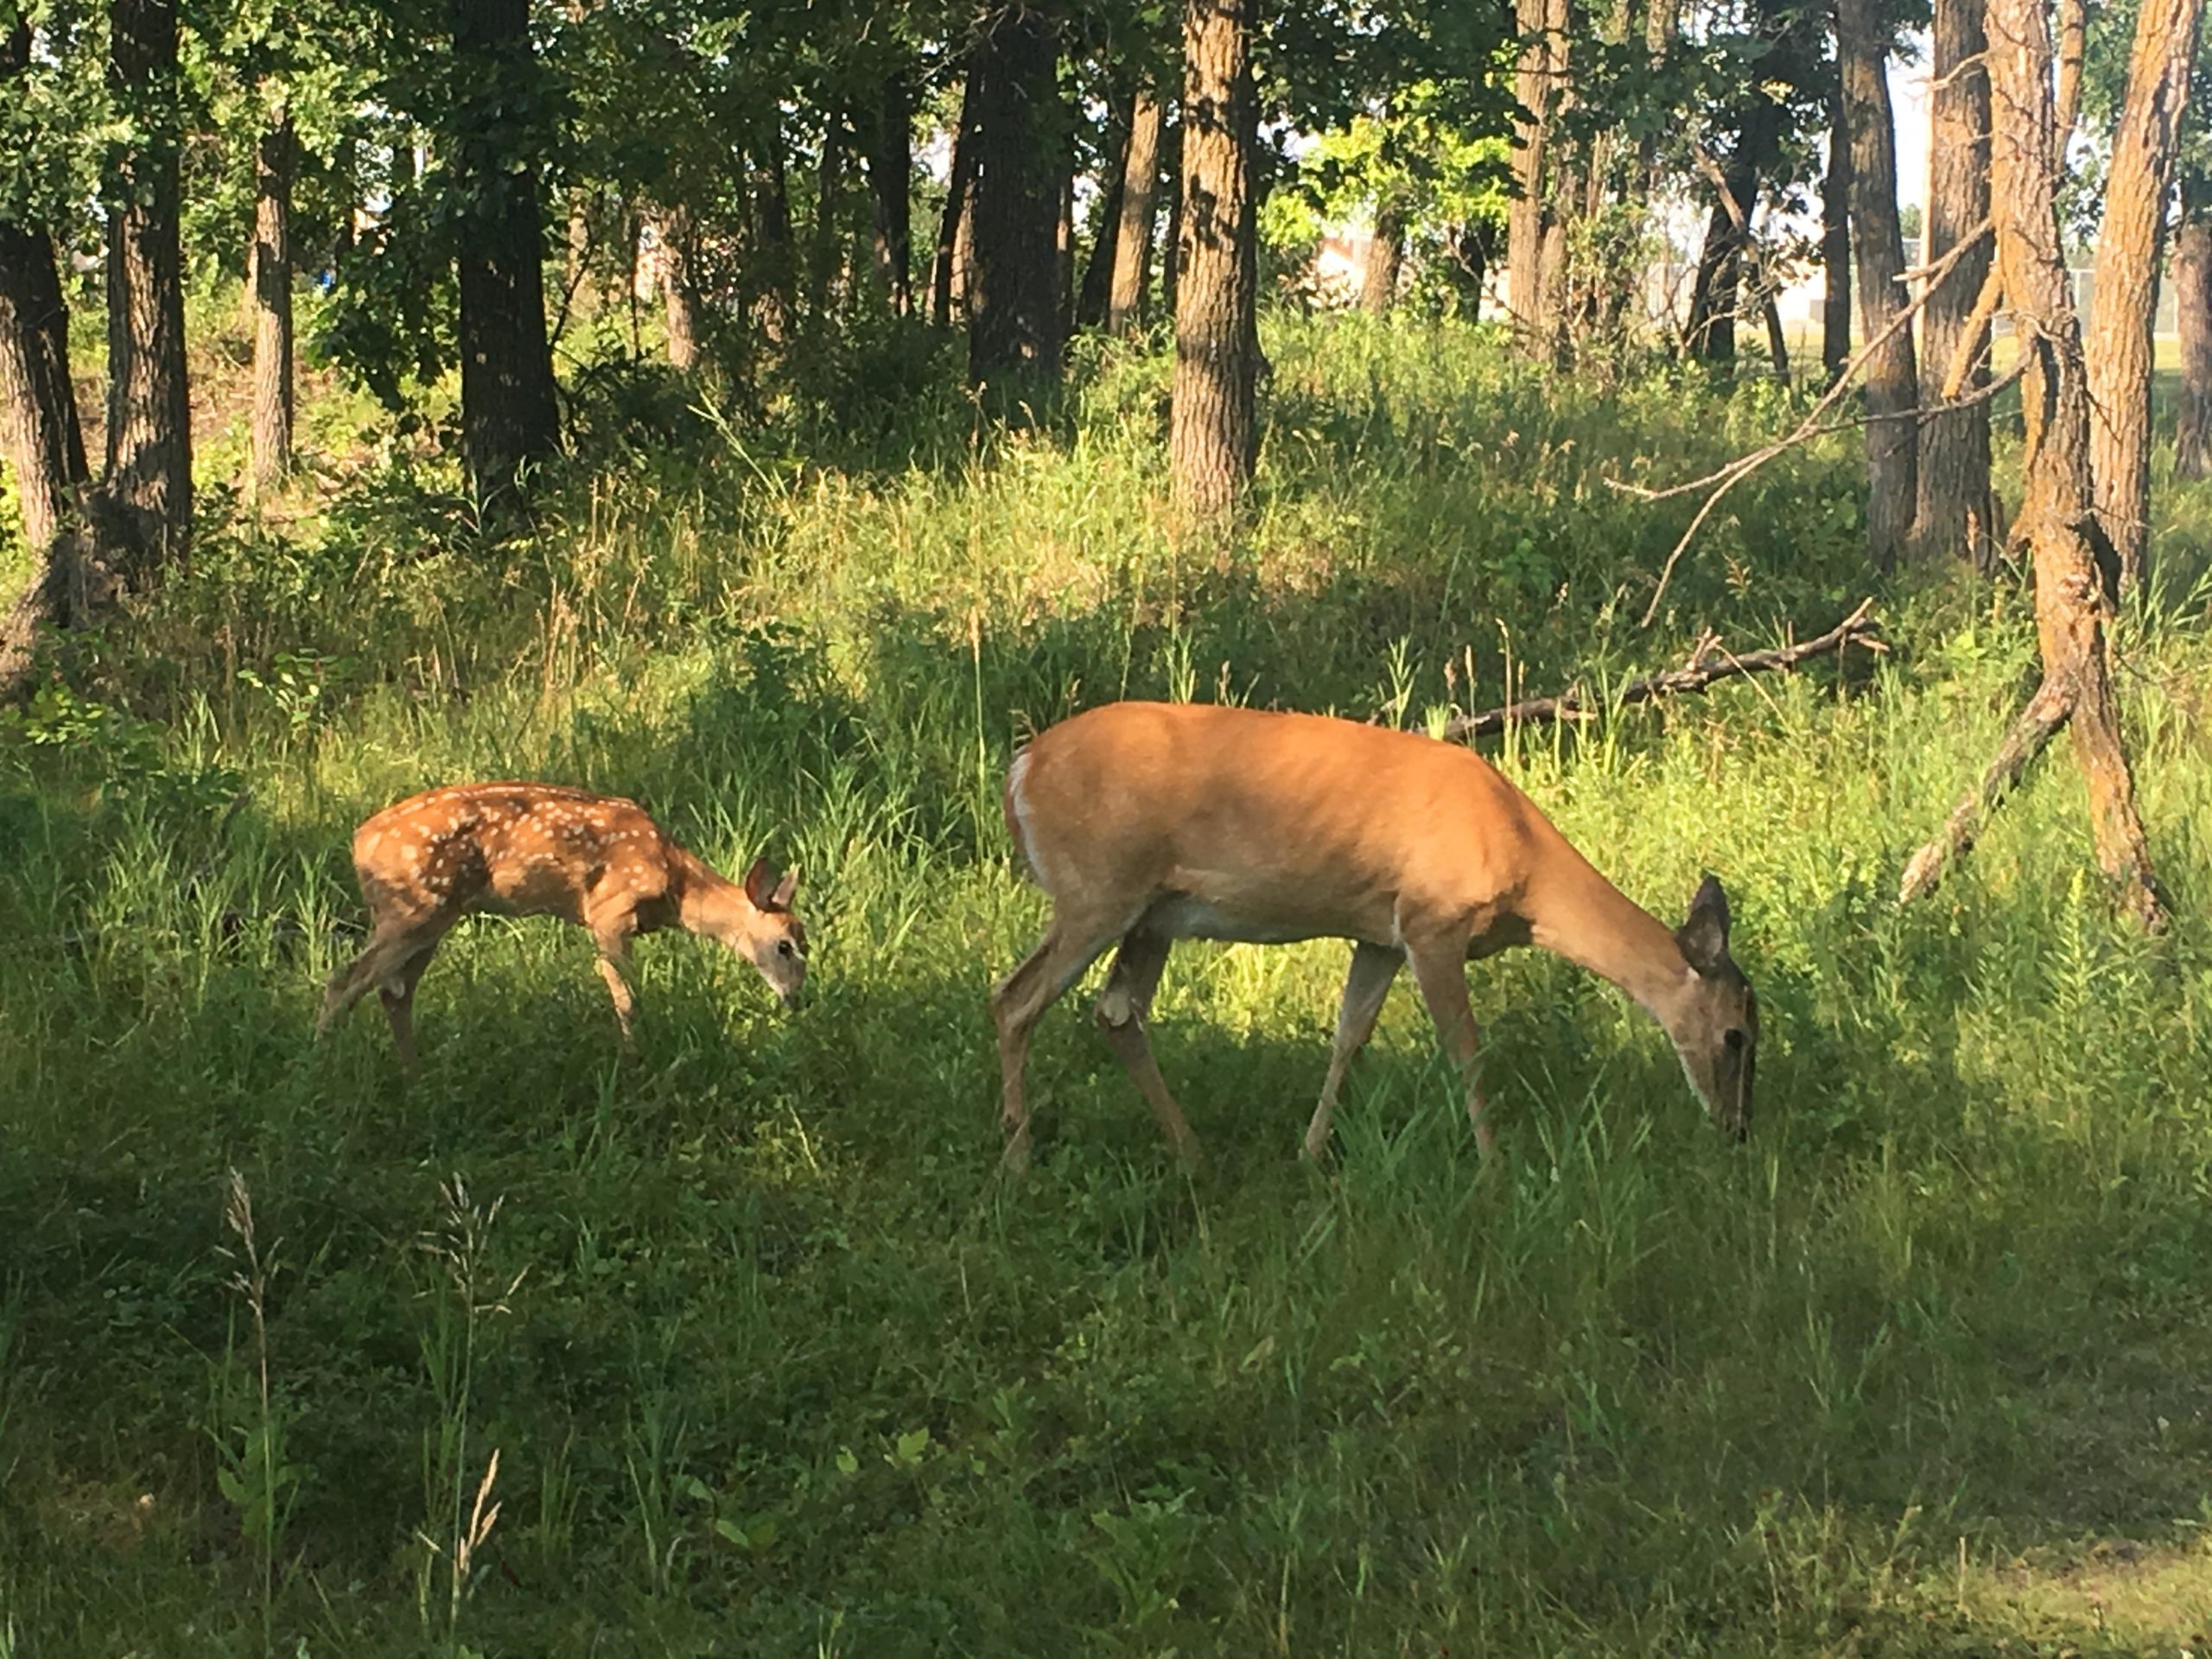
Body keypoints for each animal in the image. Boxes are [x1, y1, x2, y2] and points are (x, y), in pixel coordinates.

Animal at [318, 783, 805, 1068]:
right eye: (784, 945)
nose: (798, 999)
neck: (677, 888)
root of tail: (360, 842)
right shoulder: (609, 911)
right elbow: (626, 995)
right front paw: (634, 1058)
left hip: (434, 919)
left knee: (393, 993)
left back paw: (414, 1075)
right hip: (410, 908)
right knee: (344, 980)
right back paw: (320, 1064)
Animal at [992, 701, 1756, 1172]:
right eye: (1737, 1036)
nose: (1738, 1131)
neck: (1525, 872)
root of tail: (1018, 773)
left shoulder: (1381, 935)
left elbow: (1350, 1036)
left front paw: (1310, 1154)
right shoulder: (1433, 920)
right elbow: (1466, 1049)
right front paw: (1494, 1166)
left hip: (1154, 914)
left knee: (1116, 1011)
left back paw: (1193, 1154)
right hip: (1097, 889)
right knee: (1014, 999)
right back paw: (1020, 1159)